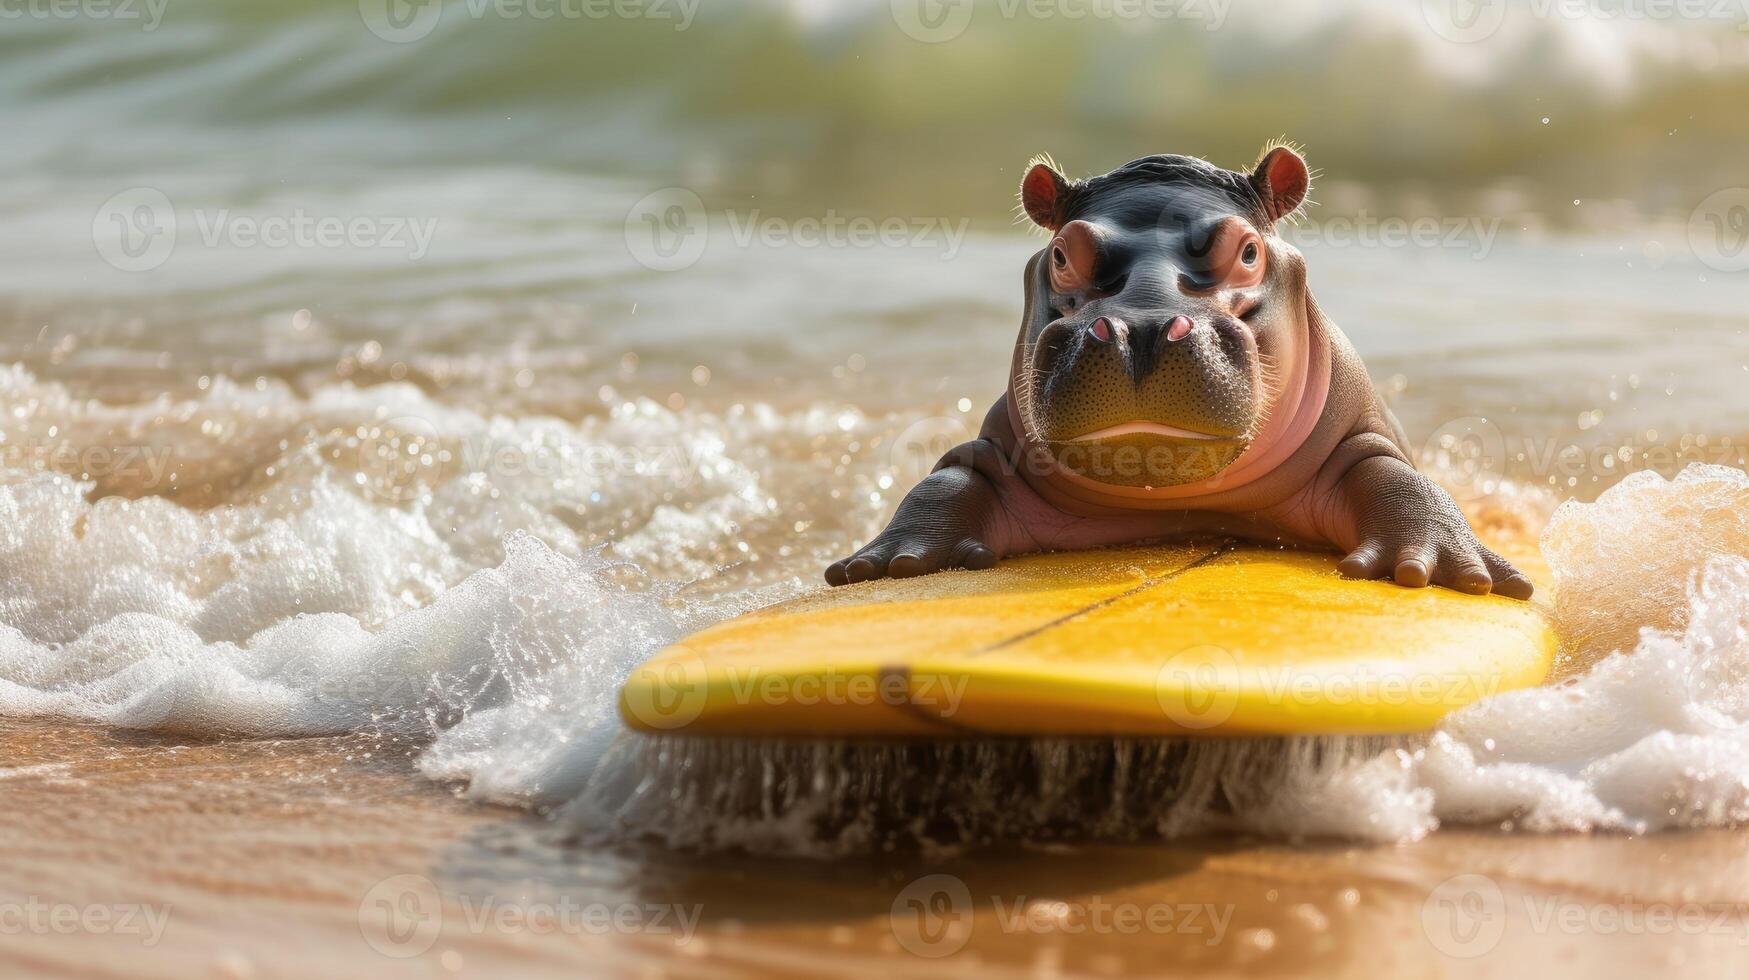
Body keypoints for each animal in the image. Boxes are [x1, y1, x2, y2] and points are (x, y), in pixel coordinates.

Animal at [829, 142, 1532, 602]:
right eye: (1061, 254)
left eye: (1247, 251)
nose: (1138, 329)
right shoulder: (996, 449)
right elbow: (950, 477)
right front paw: (899, 561)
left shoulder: (1362, 436)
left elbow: (1392, 476)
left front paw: (1439, 571)